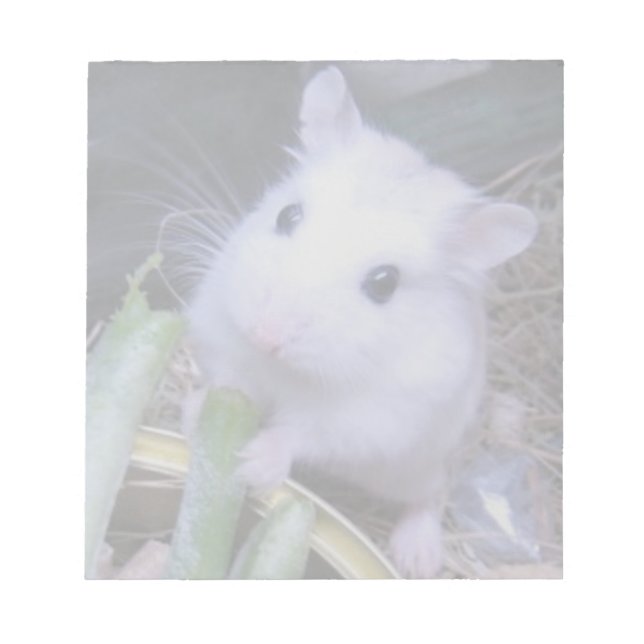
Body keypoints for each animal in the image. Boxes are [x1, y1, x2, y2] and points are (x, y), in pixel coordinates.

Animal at [186, 67, 537, 578]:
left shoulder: (365, 419)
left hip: (419, 464)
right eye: (287, 215)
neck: (285, 370)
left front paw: (251, 463)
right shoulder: (223, 339)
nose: (265, 336)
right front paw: (192, 412)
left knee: (432, 495)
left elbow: (300, 433)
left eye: (384, 283)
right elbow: (228, 383)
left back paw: (417, 558)